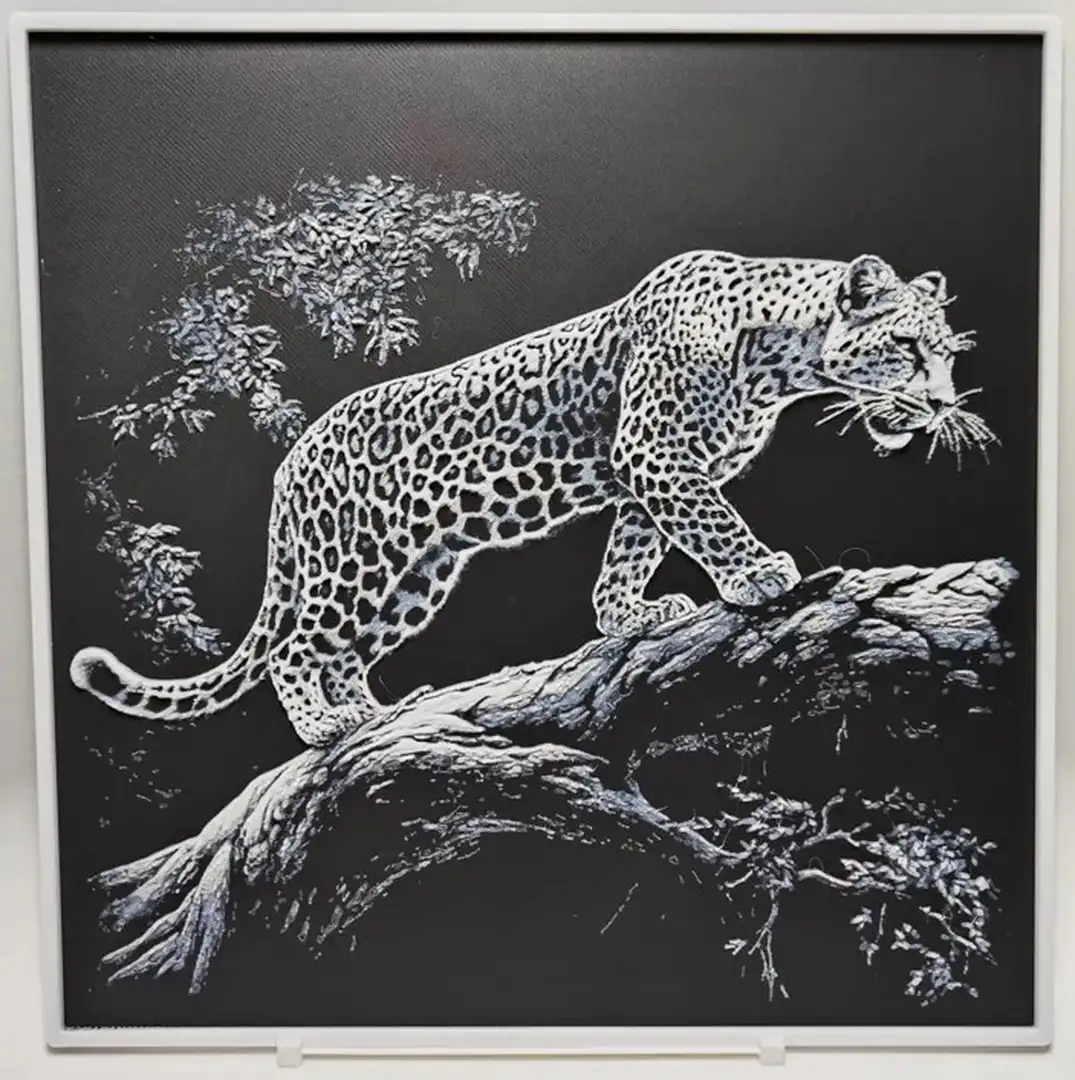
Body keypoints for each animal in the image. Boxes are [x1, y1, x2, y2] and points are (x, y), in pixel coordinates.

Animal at [71, 249, 985, 748]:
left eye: (945, 353)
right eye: (907, 347)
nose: (943, 406)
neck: (780, 361)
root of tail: (288, 463)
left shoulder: (647, 476)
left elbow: (631, 551)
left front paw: (631, 615)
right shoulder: (656, 455)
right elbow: (711, 522)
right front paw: (757, 575)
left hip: (418, 576)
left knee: (341, 652)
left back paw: (368, 713)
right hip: (354, 560)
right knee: (297, 647)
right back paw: (325, 728)